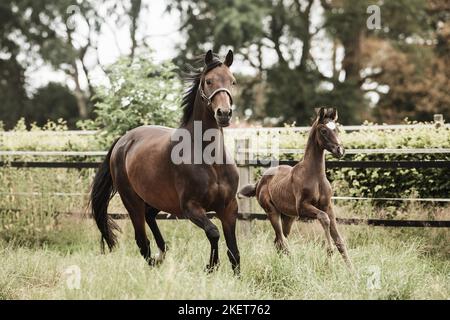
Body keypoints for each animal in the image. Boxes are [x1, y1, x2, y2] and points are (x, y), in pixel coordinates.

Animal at [241, 108, 354, 270]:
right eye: (323, 130)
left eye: (336, 129)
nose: (340, 150)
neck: (315, 176)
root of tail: (259, 182)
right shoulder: (303, 207)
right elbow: (323, 218)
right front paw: (329, 252)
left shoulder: (328, 207)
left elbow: (339, 240)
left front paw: (352, 271)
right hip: (272, 212)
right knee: (282, 241)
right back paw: (291, 266)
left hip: (289, 217)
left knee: (278, 241)